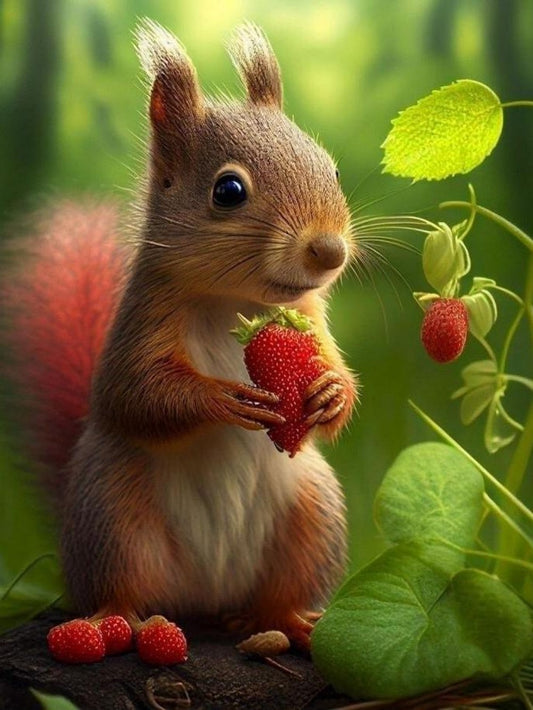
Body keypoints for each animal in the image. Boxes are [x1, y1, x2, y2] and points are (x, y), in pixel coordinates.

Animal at [3, 20, 357, 650]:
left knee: (279, 594)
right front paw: (221, 397)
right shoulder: (142, 321)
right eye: (228, 191)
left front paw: (330, 393)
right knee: (122, 588)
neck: (241, 303)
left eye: (331, 168)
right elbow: (137, 395)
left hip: (313, 511)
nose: (329, 251)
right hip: (114, 515)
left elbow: (335, 383)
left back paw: (286, 622)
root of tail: (207, 600)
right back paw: (115, 621)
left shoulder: (310, 322)